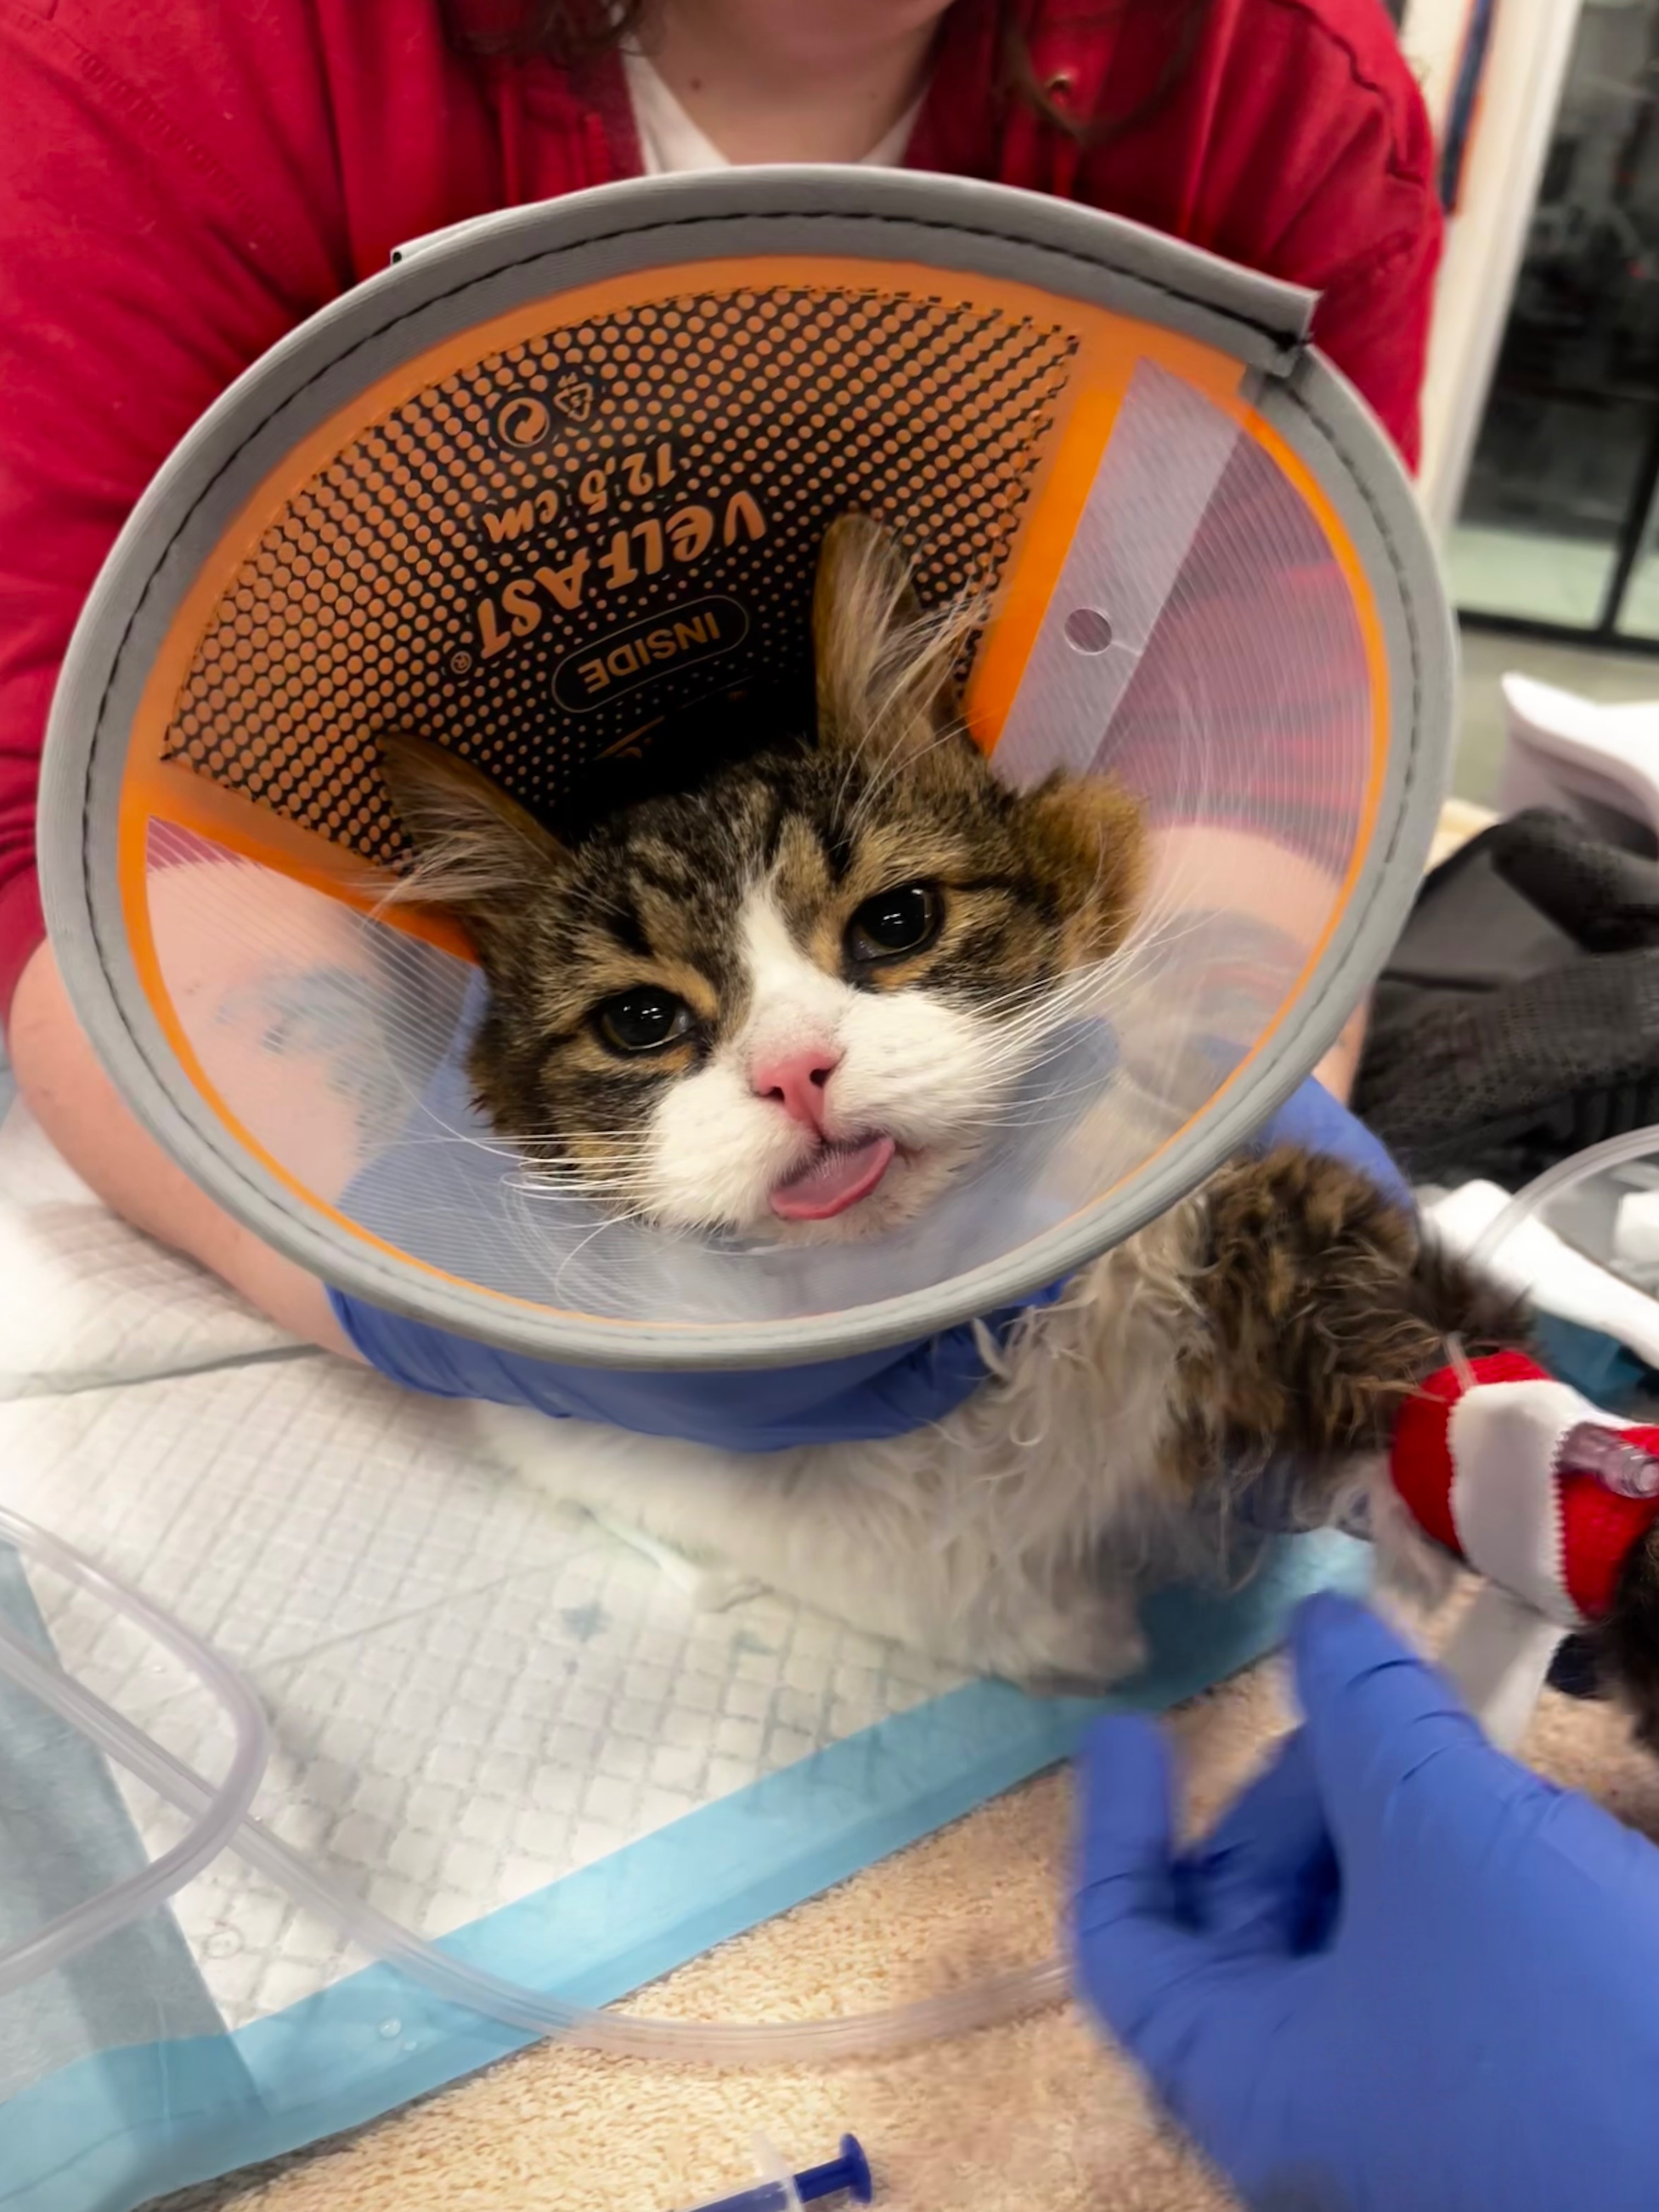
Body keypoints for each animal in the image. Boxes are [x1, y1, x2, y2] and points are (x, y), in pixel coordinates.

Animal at [376, 515, 1655, 1725]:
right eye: (643, 1021)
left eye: (896, 921)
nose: (796, 1071)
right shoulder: (612, 1440)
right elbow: (883, 1557)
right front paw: (1086, 1641)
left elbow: (1409, 1344)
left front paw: (1544, 1482)